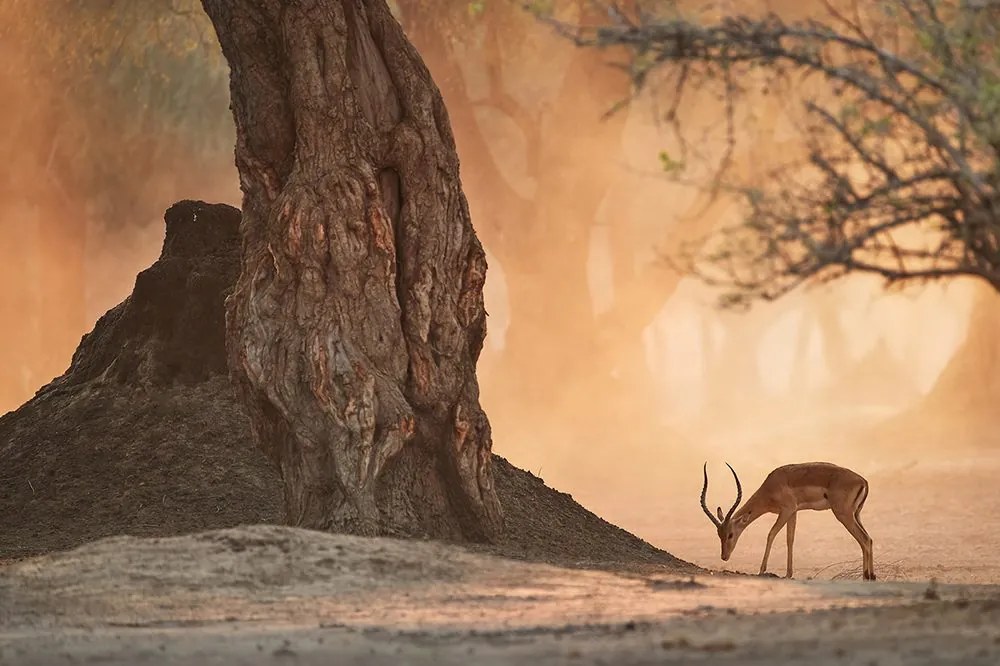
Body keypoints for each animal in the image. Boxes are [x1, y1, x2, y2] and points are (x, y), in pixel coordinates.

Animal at [700, 460, 872, 580]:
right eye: (719, 535)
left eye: (730, 534)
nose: (724, 556)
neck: (771, 486)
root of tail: (863, 481)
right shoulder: (793, 512)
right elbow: (790, 539)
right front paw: (788, 574)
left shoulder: (786, 510)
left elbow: (771, 534)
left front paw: (762, 570)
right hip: (856, 515)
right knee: (868, 540)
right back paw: (871, 576)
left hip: (844, 515)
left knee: (864, 539)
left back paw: (867, 577)